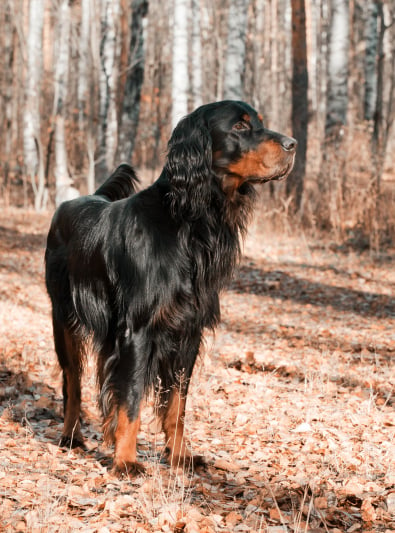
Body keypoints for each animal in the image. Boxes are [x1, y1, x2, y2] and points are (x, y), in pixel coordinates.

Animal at [44, 100, 296, 474]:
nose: (293, 144)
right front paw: (126, 460)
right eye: (239, 126)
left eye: (259, 122)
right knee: (71, 381)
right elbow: (132, 397)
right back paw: (71, 436)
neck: (188, 222)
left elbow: (177, 404)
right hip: (63, 318)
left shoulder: (188, 332)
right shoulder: (137, 329)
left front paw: (179, 456)